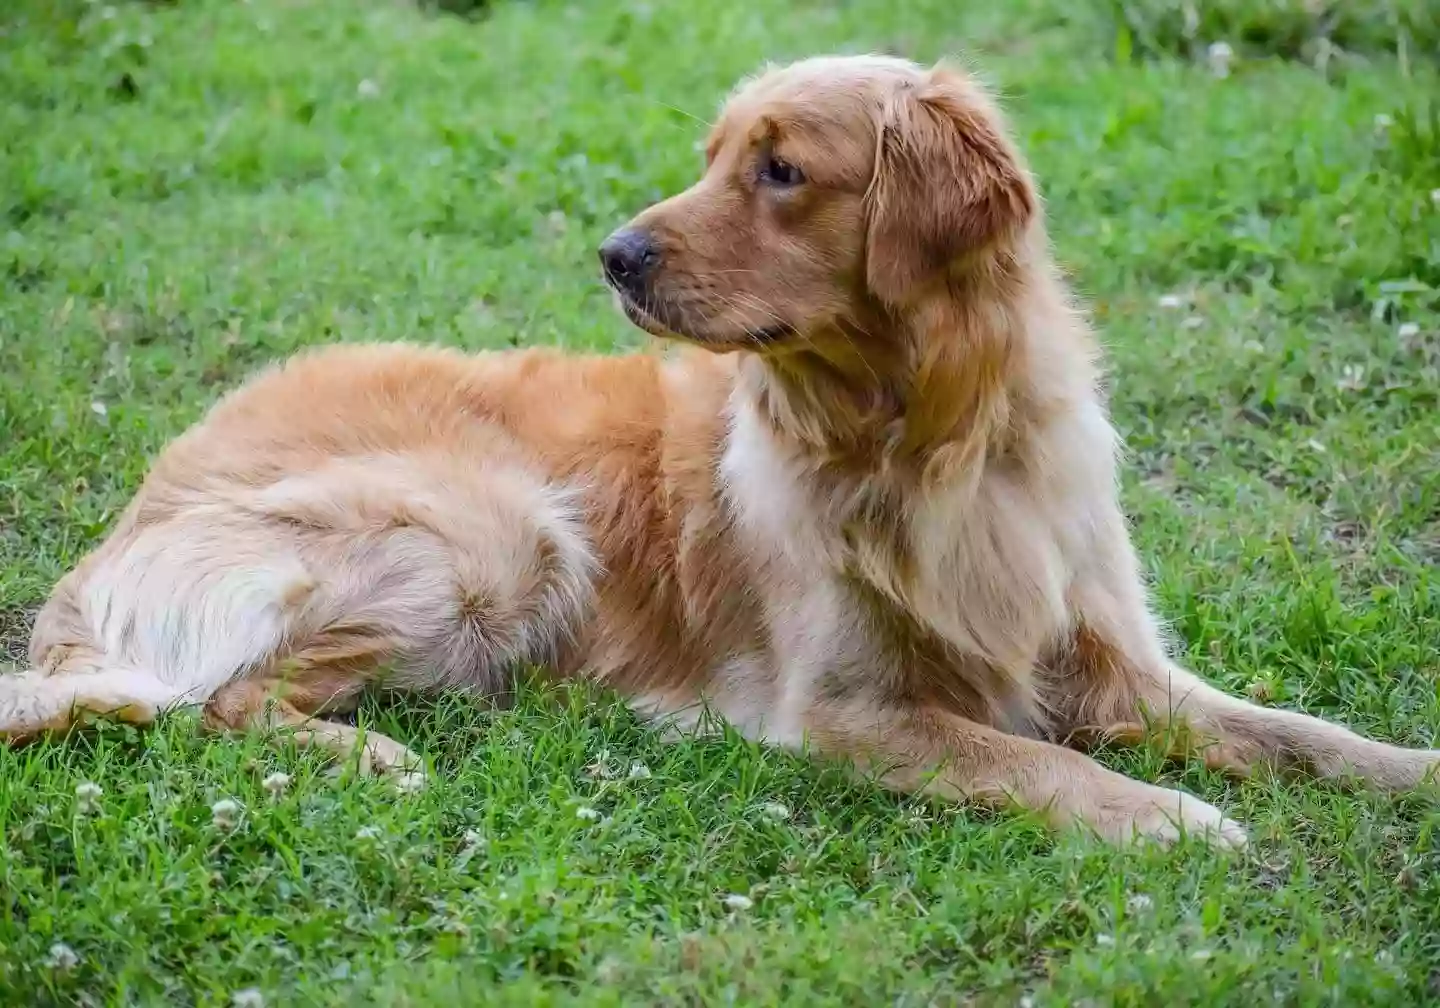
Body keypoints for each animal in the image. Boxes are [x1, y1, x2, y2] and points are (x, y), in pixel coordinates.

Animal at [5, 55, 1434, 840]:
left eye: (782, 169)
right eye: (712, 159)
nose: (614, 255)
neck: (927, 443)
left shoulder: (1114, 658)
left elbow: (1300, 730)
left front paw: (1409, 770)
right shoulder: (842, 711)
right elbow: (1028, 756)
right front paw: (1170, 818)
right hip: (499, 536)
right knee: (213, 701)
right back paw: (373, 754)